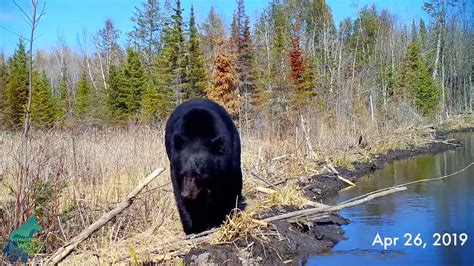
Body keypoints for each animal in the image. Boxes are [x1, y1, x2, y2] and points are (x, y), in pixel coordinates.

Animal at [164, 98, 243, 235]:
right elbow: (183, 202)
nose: (187, 194)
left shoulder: (229, 162)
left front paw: (223, 218)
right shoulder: (175, 170)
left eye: (199, 174)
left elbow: (229, 189)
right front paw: (193, 228)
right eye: (182, 172)